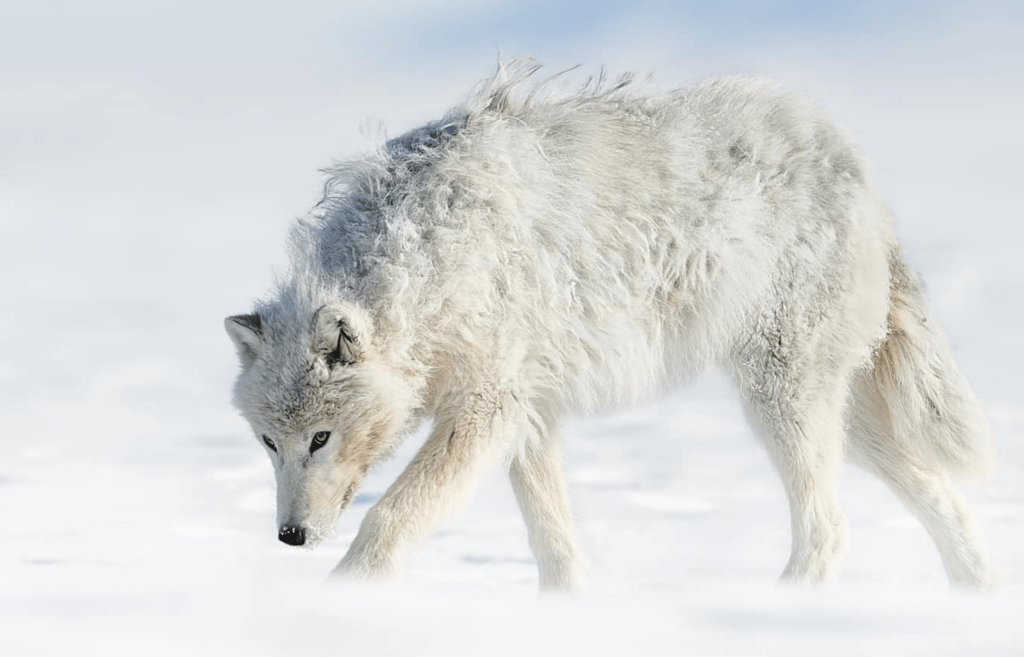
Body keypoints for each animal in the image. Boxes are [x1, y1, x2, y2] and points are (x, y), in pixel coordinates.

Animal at [225, 60, 997, 591]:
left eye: (320, 438)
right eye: (268, 442)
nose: (289, 536)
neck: (419, 262)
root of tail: (860, 173)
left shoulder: (487, 408)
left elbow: (392, 516)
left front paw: (341, 603)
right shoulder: (528, 413)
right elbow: (554, 541)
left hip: (783, 403)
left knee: (830, 531)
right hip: (848, 422)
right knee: (938, 494)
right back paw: (974, 597)